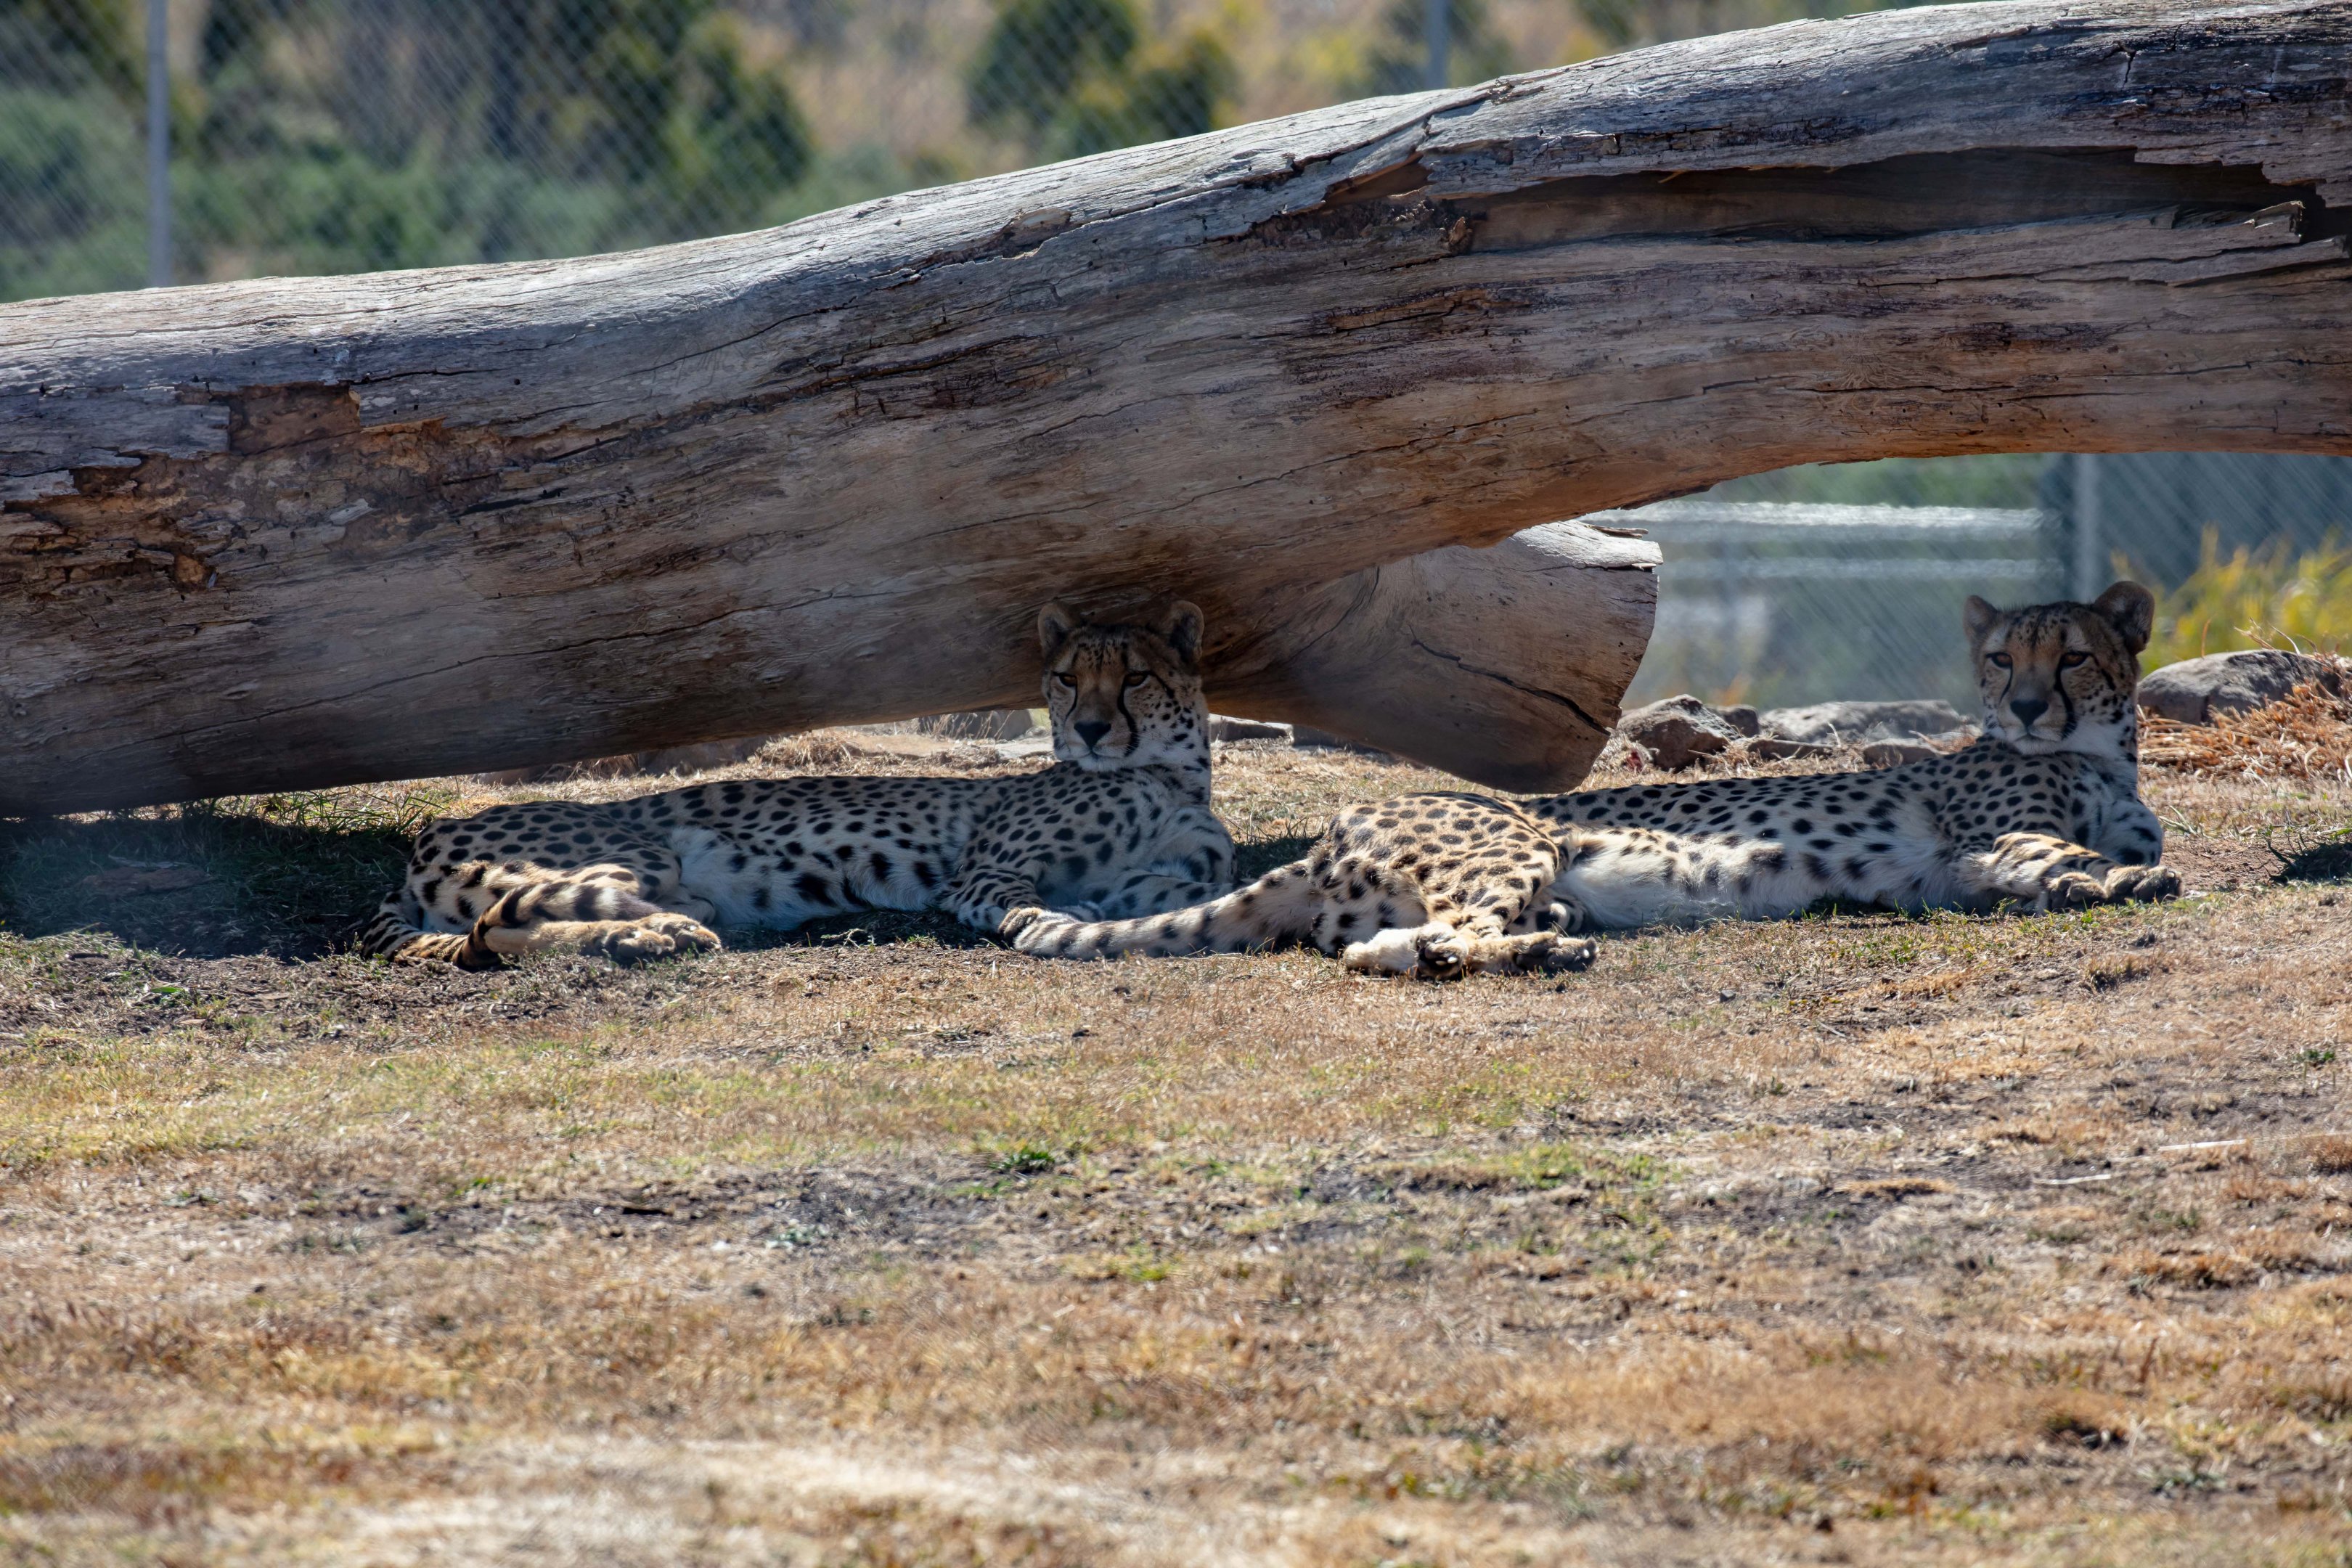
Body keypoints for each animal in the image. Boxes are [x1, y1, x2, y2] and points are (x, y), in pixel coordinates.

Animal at [361, 600, 1236, 968]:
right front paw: (1047, 920)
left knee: (495, 934)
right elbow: (1017, 901)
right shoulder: (981, 873)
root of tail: (423, 839)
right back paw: (654, 928)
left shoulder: (1155, 876)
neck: (1169, 774)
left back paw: (651, 935)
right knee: (528, 909)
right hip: (640, 855)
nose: (1087, 730)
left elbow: (1176, 888)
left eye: (1133, 677)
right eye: (1066, 678)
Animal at [1004, 582, 2178, 979]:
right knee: (1432, 938)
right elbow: (2059, 848)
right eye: (2004, 659)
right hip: (1514, 837)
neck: (2101, 753)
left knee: (1387, 949)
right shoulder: (1981, 834)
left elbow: (2049, 868)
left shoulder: (1964, 868)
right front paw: (2124, 879)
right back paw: (1539, 951)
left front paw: (2096, 879)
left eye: (2073, 656)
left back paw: (1534, 946)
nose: (2027, 710)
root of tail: (1332, 829)